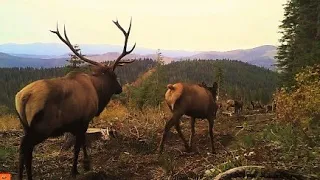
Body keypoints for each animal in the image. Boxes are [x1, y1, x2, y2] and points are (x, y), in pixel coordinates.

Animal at [15, 18, 135, 180]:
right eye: (115, 76)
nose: (120, 88)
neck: (97, 92)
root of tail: (23, 98)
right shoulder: (84, 119)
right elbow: (78, 145)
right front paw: (77, 169)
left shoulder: (75, 124)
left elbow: (82, 142)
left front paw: (86, 165)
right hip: (42, 127)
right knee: (25, 148)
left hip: (25, 125)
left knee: (25, 150)